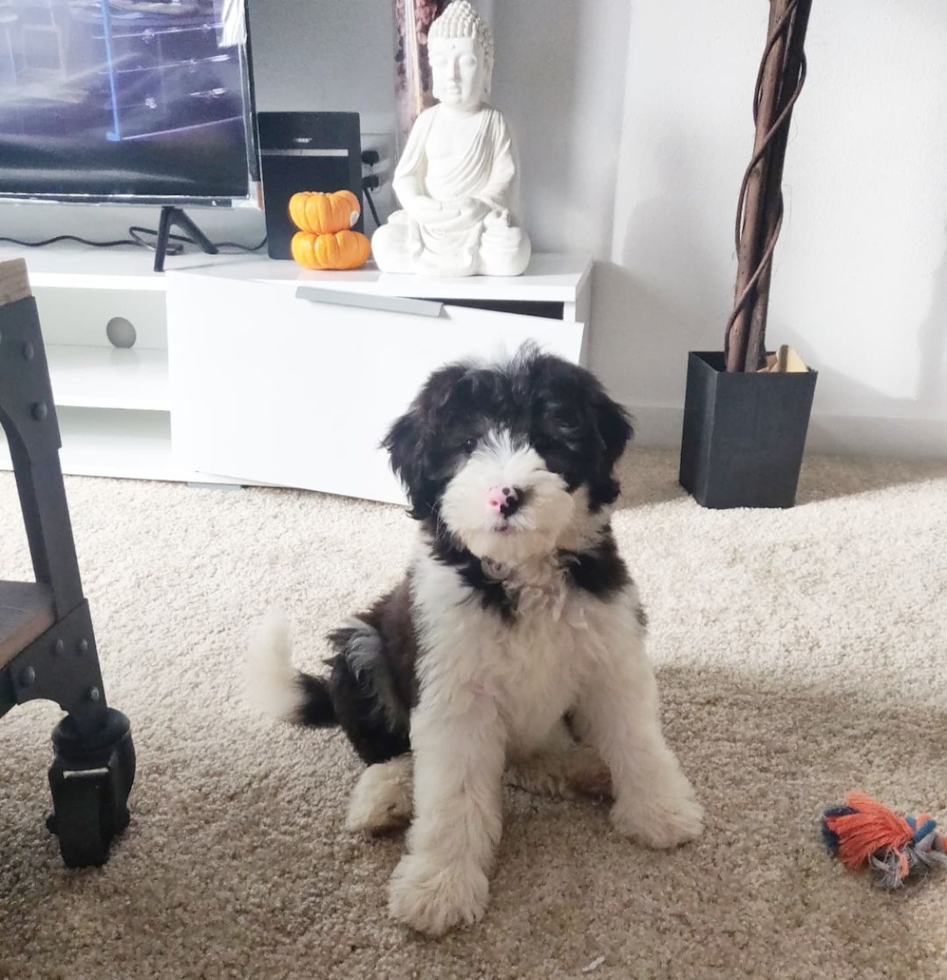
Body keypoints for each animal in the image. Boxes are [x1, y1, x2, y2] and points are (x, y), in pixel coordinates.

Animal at [252, 344, 704, 936]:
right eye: (467, 445)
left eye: (551, 438)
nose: (505, 496)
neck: (522, 576)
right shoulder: (453, 692)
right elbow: (453, 795)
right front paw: (439, 887)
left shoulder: (612, 654)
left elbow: (637, 739)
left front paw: (660, 810)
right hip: (362, 649)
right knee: (388, 753)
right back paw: (384, 798)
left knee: (530, 757)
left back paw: (581, 768)